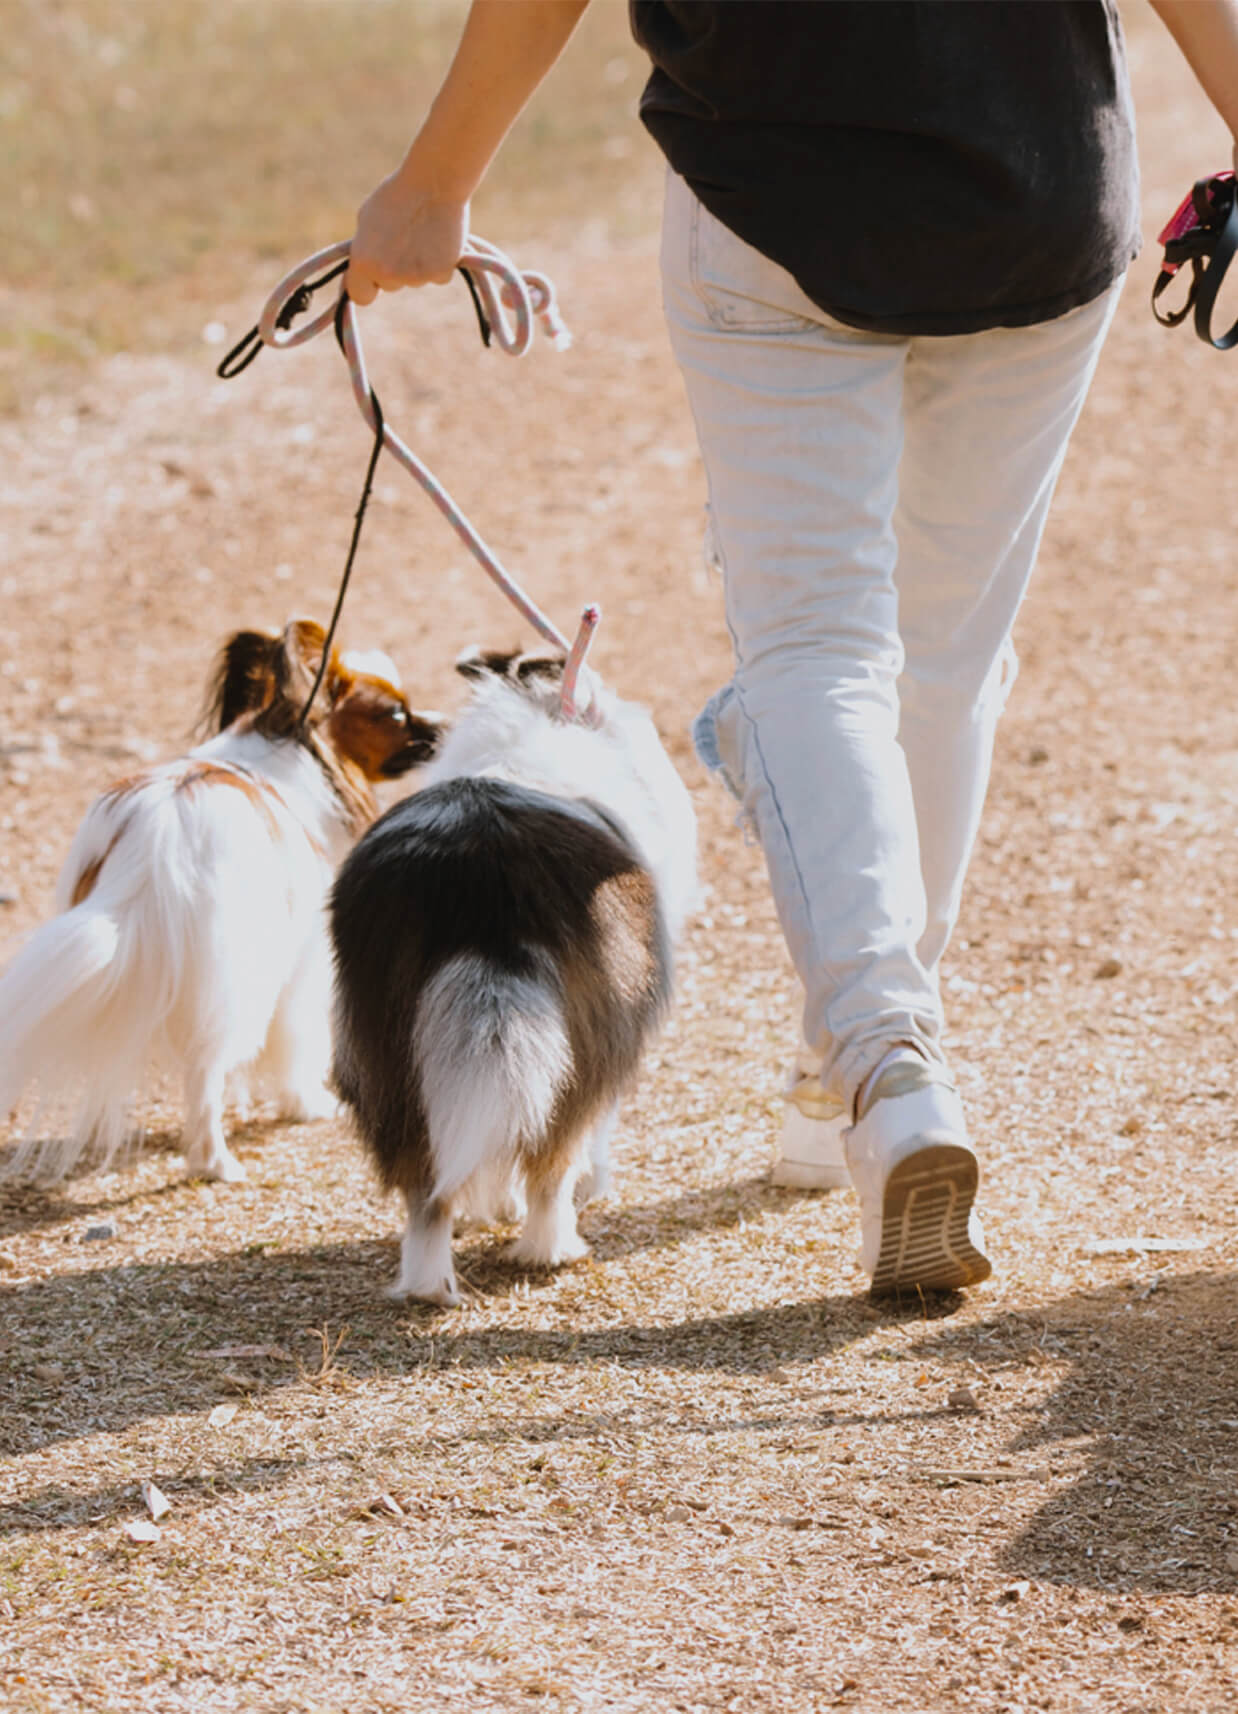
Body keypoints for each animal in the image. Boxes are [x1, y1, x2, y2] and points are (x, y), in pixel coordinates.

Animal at [0, 620, 442, 1192]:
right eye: (395, 715)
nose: (443, 725)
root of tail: (153, 845)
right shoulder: (299, 964)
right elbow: (294, 1040)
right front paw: (305, 1103)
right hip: (239, 975)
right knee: (204, 1069)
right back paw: (214, 1161)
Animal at [327, 647, 692, 1302]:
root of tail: (479, 871)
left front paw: (490, 1207)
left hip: (383, 1046)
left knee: (425, 1183)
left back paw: (427, 1280)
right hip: (593, 1037)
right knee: (553, 1155)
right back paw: (552, 1248)